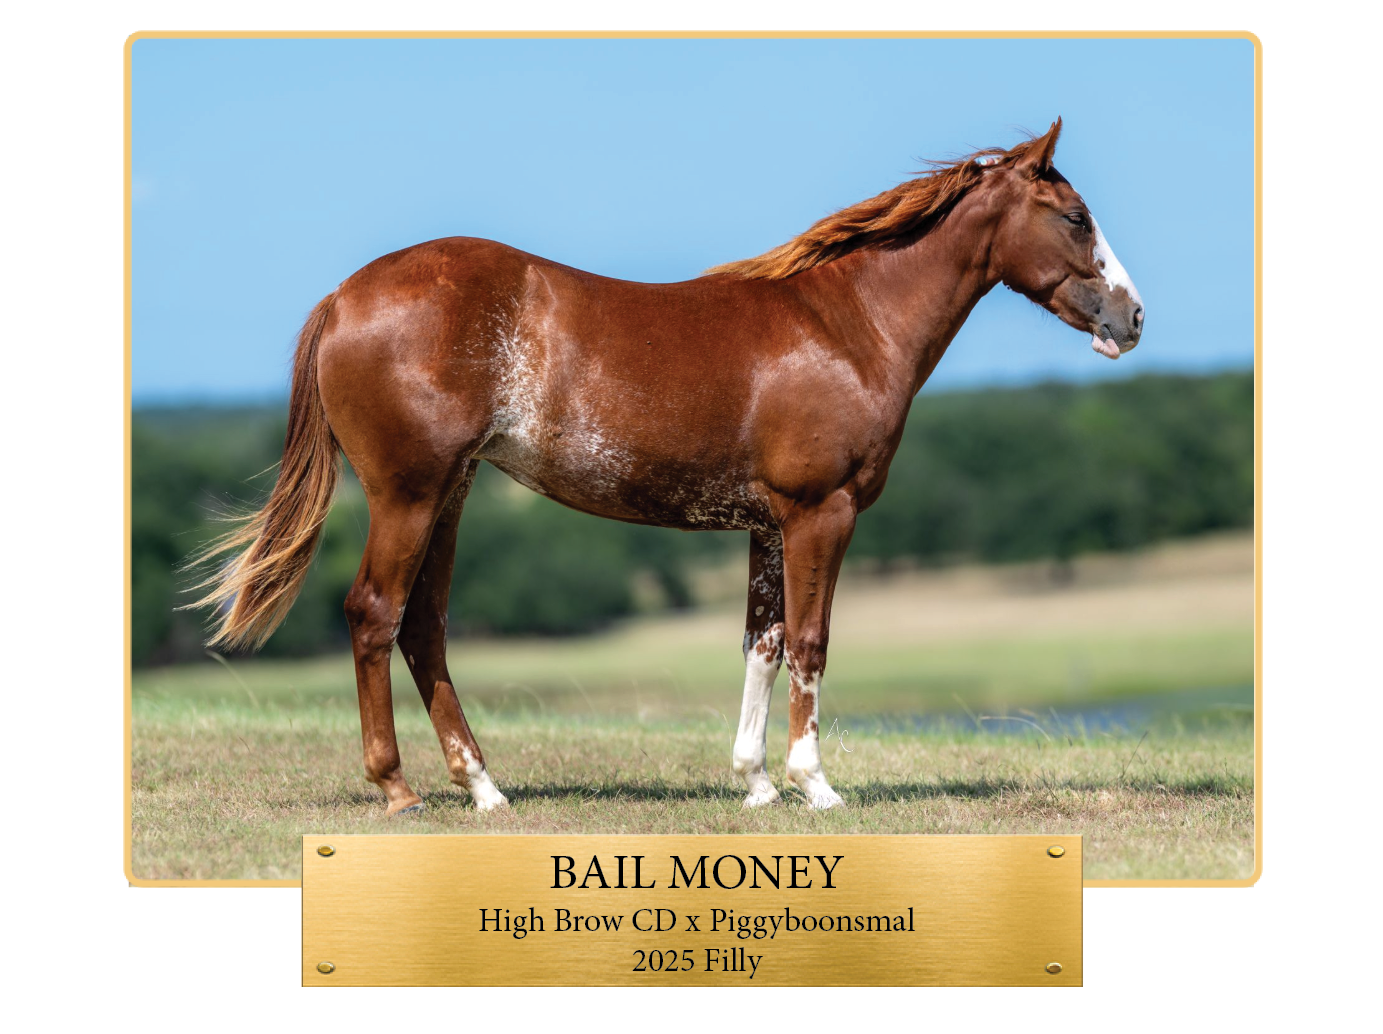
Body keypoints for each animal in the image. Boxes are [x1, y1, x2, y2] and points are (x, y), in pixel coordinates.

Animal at [190, 118, 1143, 815]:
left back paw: (485, 788)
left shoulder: (768, 524)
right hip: (409, 493)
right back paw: (398, 789)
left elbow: (762, 642)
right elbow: (810, 641)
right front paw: (816, 785)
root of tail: (344, 295)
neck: (845, 325)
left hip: (449, 493)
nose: (1132, 318)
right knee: (373, 614)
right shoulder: (820, 513)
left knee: (423, 626)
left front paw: (755, 783)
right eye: (1075, 218)